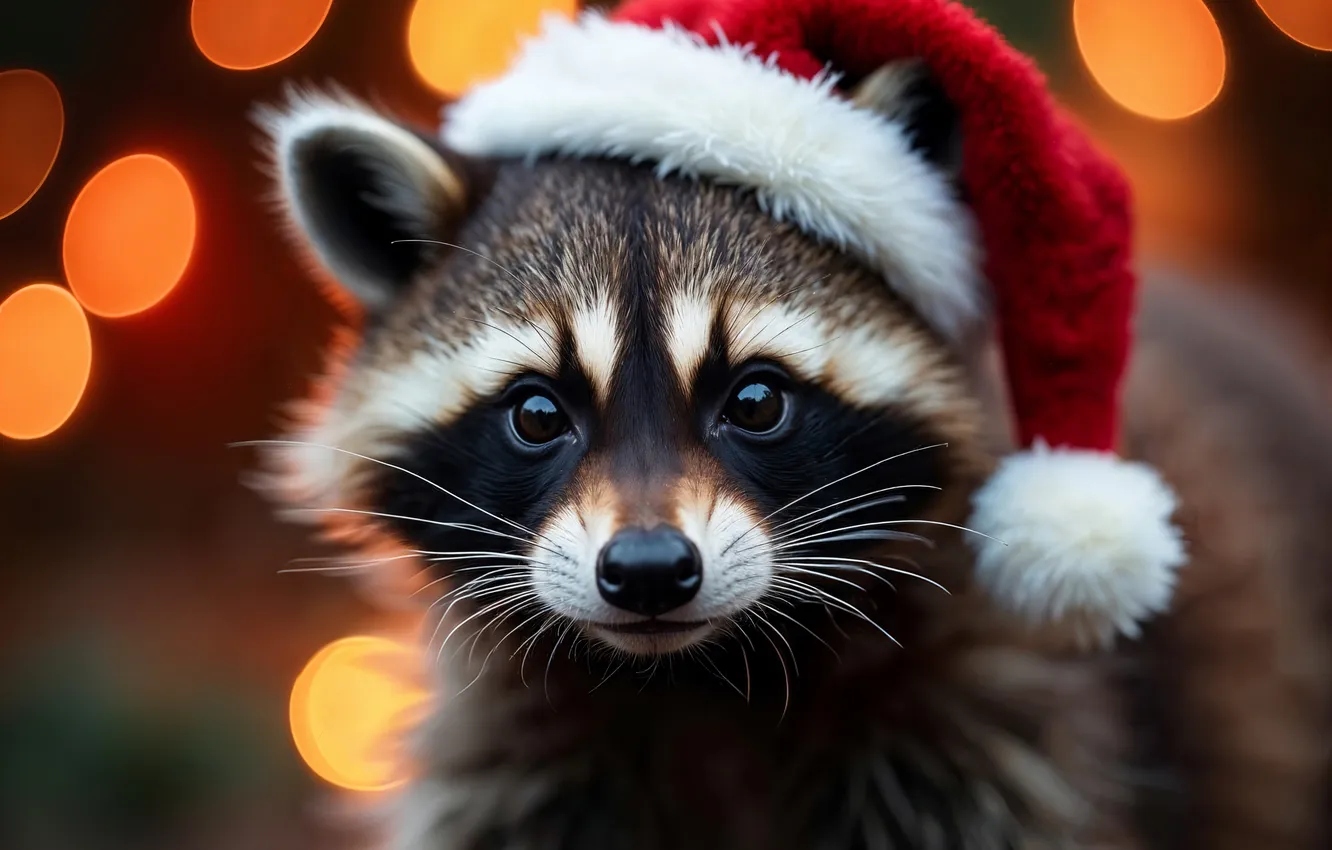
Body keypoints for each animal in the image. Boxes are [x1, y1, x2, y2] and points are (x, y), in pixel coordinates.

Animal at [250, 16, 1330, 850]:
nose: (648, 571)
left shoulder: (991, 722)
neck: (703, 678)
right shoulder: (515, 752)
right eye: (537, 413)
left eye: (757, 402)